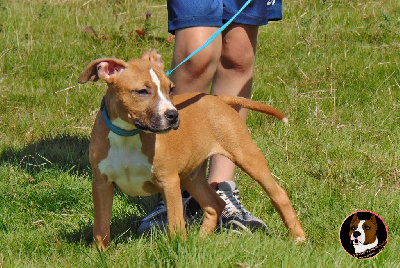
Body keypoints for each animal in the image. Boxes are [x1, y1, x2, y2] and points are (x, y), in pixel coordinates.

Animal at [78, 49, 306, 249]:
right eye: (142, 91)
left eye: (171, 89)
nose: (173, 115)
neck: (128, 134)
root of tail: (216, 98)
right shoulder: (101, 184)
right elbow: (101, 225)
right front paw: (100, 254)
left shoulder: (169, 182)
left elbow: (176, 225)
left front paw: (178, 249)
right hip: (192, 175)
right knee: (214, 204)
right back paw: (202, 239)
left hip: (246, 156)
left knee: (278, 193)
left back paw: (298, 237)